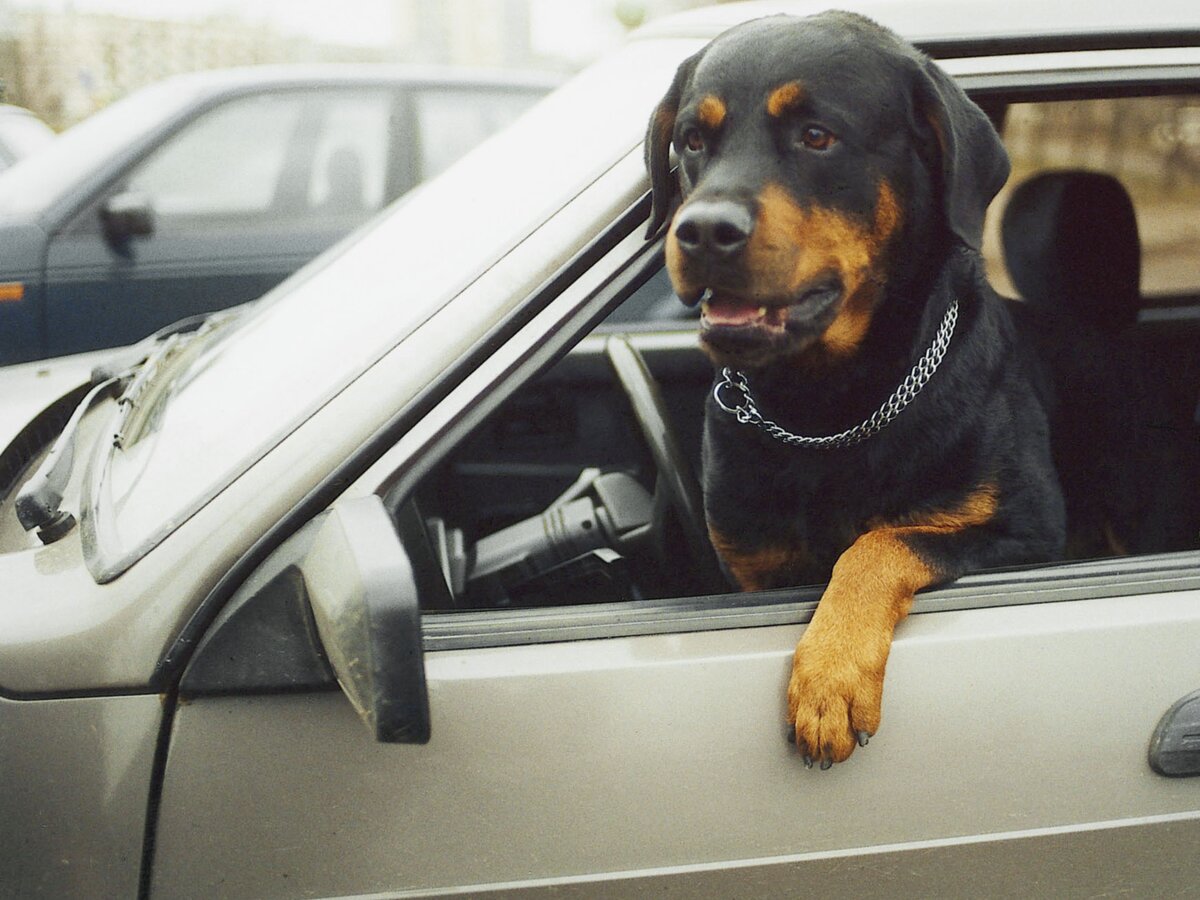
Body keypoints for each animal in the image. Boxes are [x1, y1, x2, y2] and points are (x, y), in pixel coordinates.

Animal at [648, 12, 1070, 768]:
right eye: (692, 140)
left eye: (817, 136)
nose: (701, 230)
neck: (828, 405)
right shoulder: (751, 568)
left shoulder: (1029, 531)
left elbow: (879, 544)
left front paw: (830, 679)